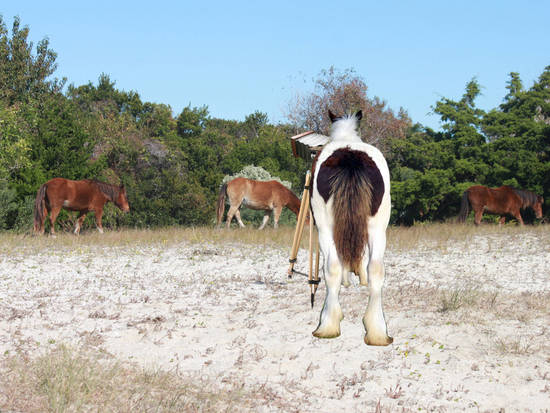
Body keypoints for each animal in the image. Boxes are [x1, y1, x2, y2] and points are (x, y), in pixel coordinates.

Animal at [312, 109, 394, 344]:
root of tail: (350, 155)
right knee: (376, 268)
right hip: (378, 227)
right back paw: (377, 330)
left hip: (324, 227)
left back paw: (328, 323)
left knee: (332, 267)